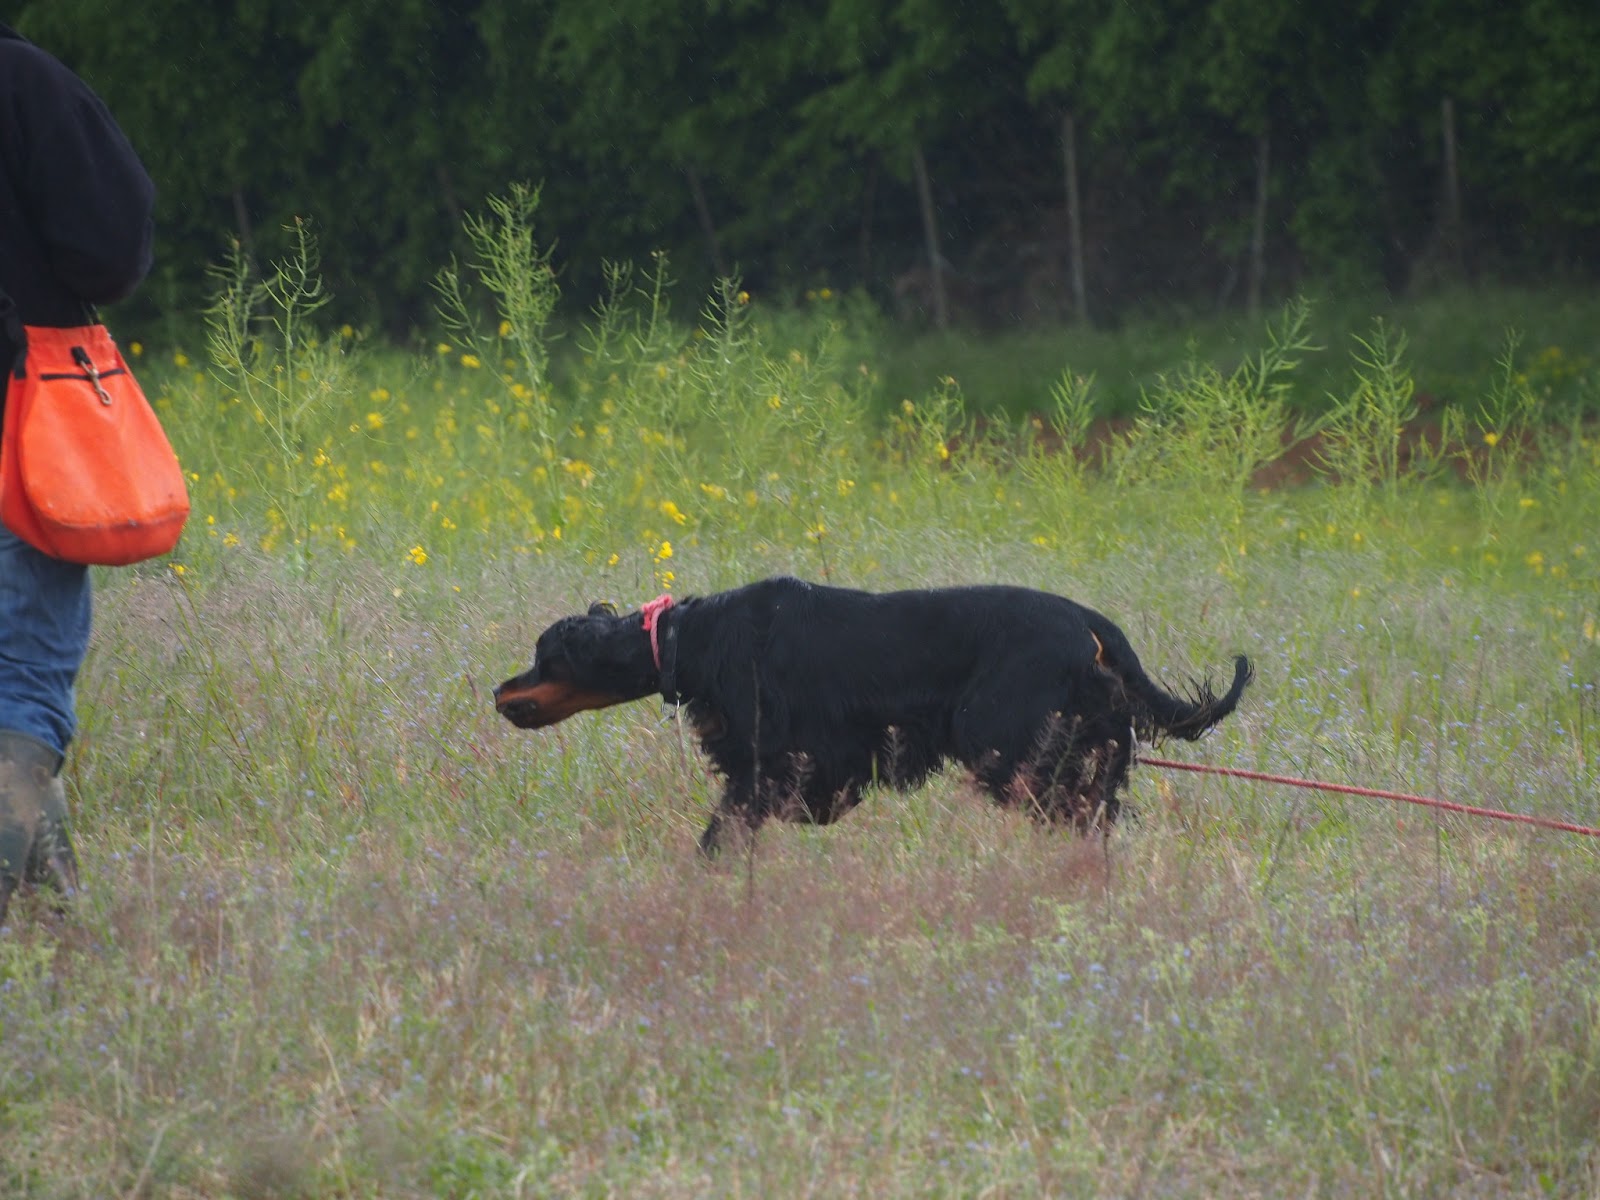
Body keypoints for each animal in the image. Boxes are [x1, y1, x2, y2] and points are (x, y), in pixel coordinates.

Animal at [494, 577, 1252, 855]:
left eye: (542, 657)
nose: (500, 693)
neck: (693, 639)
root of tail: (1092, 626)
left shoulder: (770, 760)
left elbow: (724, 828)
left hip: (1010, 744)